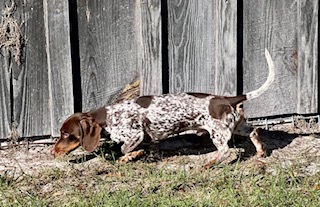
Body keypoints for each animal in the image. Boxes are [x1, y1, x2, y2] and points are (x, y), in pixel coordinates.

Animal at [51, 49, 274, 168]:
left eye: (66, 134)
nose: (52, 153)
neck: (108, 117)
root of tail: (227, 98)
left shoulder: (135, 135)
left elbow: (125, 149)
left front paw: (131, 156)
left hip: (218, 133)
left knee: (225, 150)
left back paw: (209, 164)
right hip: (237, 125)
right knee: (254, 131)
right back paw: (260, 152)